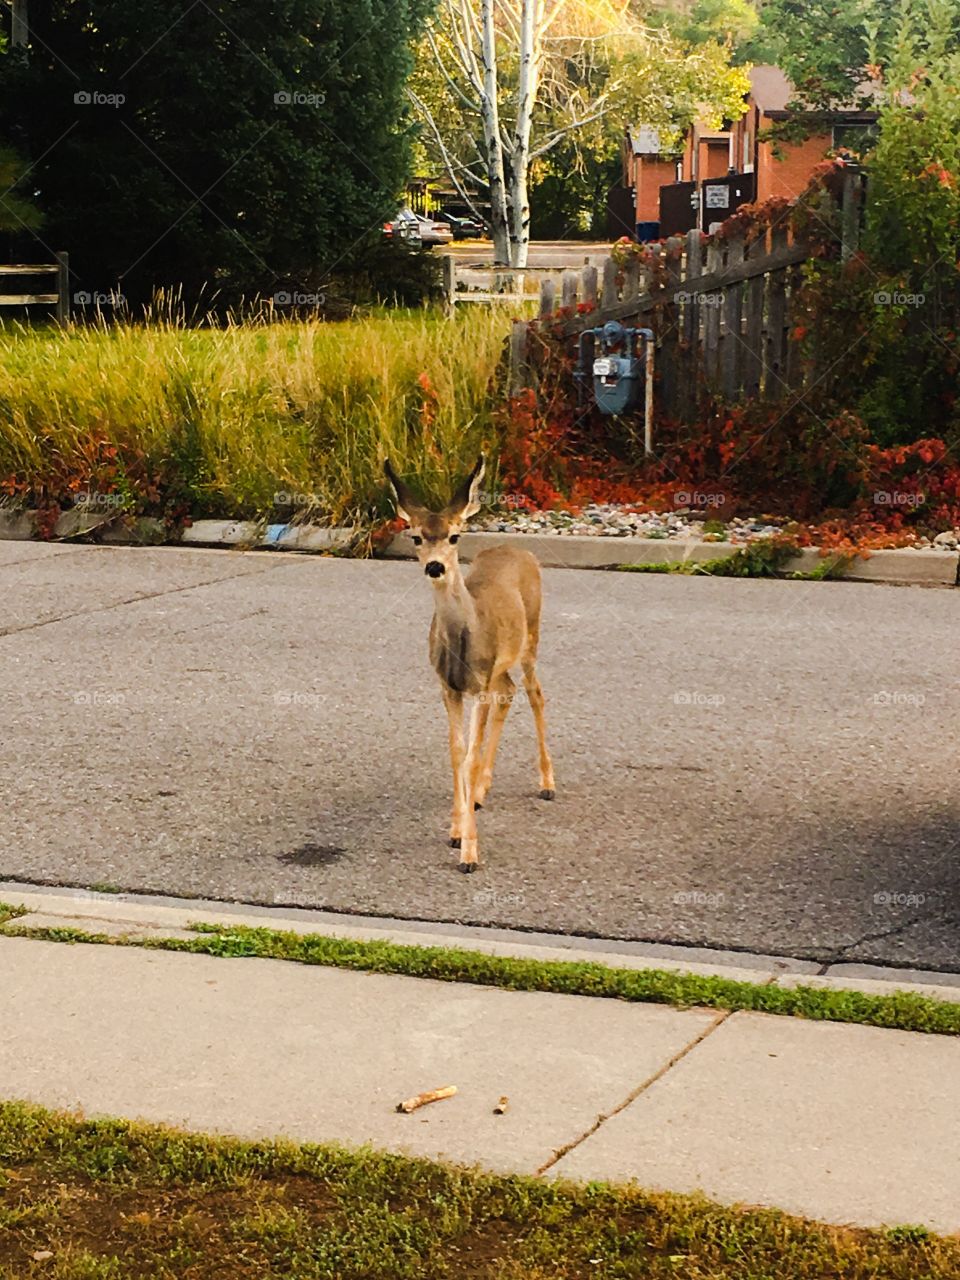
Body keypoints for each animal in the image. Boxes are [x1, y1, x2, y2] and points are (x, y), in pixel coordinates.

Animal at [386, 455, 555, 875]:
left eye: (454, 536)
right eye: (416, 537)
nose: (435, 567)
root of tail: (519, 549)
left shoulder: (477, 685)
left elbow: (470, 755)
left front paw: (469, 853)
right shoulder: (448, 686)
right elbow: (456, 752)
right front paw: (456, 828)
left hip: (531, 637)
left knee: (535, 693)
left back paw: (547, 783)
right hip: (500, 667)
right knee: (509, 691)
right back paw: (481, 793)